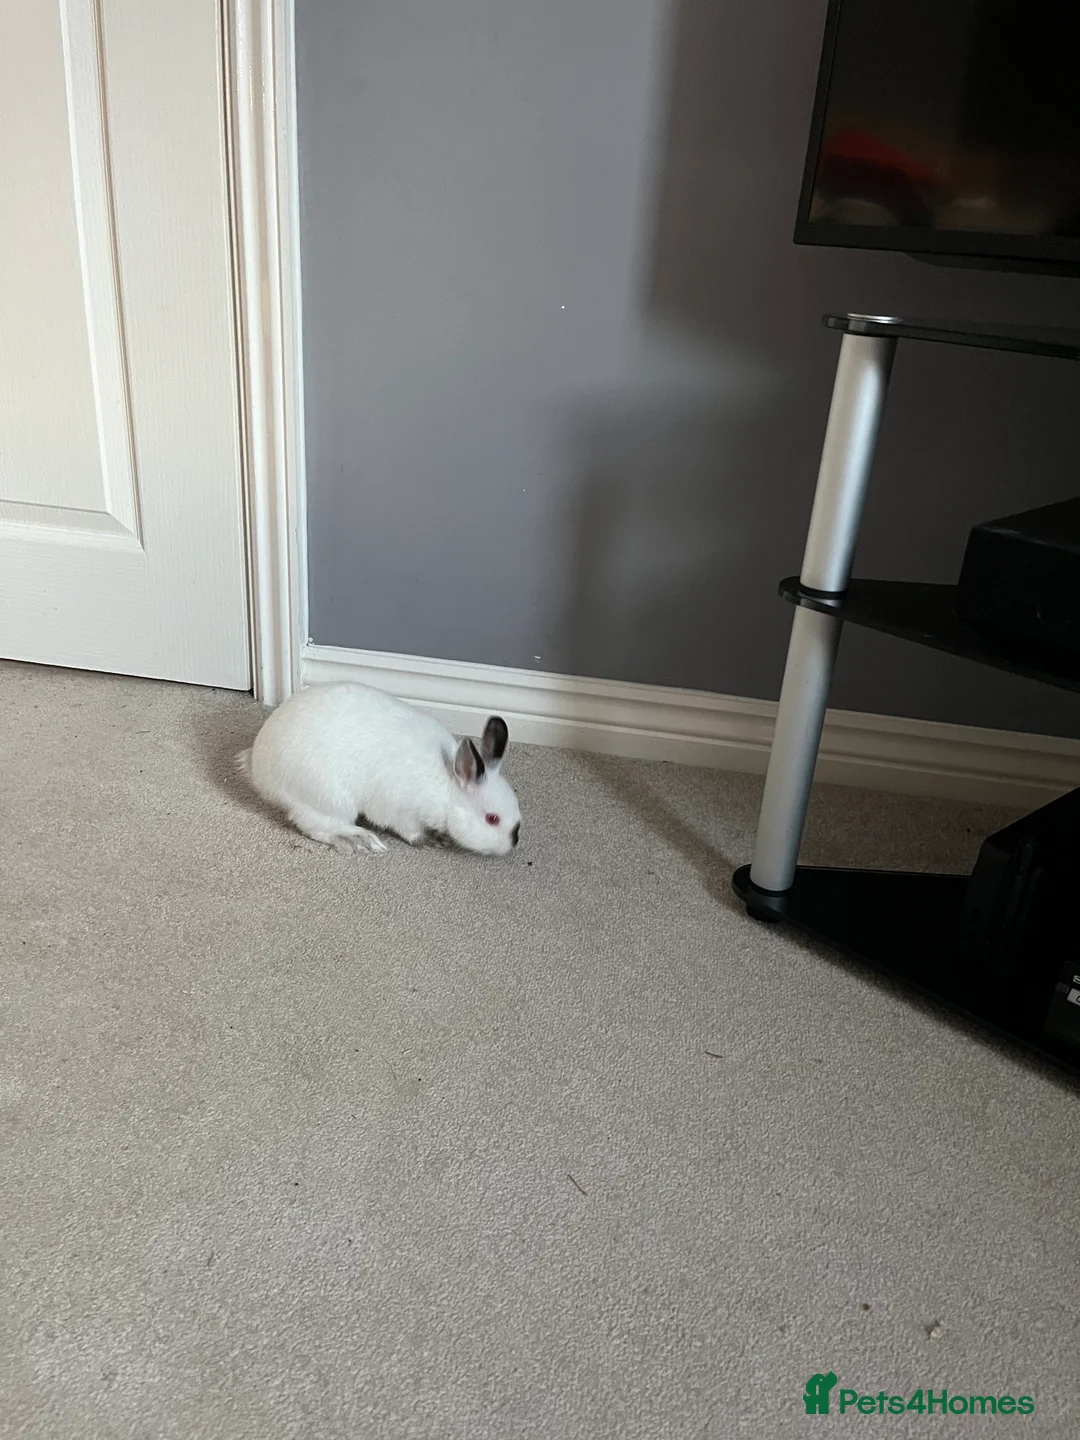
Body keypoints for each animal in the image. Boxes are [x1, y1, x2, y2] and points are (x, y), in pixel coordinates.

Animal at [238, 681, 521, 857]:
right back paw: (359, 840)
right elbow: (410, 831)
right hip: (329, 799)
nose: (513, 841)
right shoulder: (402, 810)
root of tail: (259, 768)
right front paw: (433, 840)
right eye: (492, 819)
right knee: (315, 826)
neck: (449, 789)